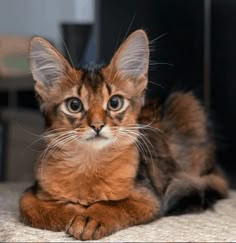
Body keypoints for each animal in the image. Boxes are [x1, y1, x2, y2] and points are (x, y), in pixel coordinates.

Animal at [19, 29, 228, 240]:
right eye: (74, 105)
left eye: (114, 103)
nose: (97, 125)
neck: (89, 162)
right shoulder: (33, 191)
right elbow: (30, 208)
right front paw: (71, 212)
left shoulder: (148, 197)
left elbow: (114, 204)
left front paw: (89, 218)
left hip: (186, 102)